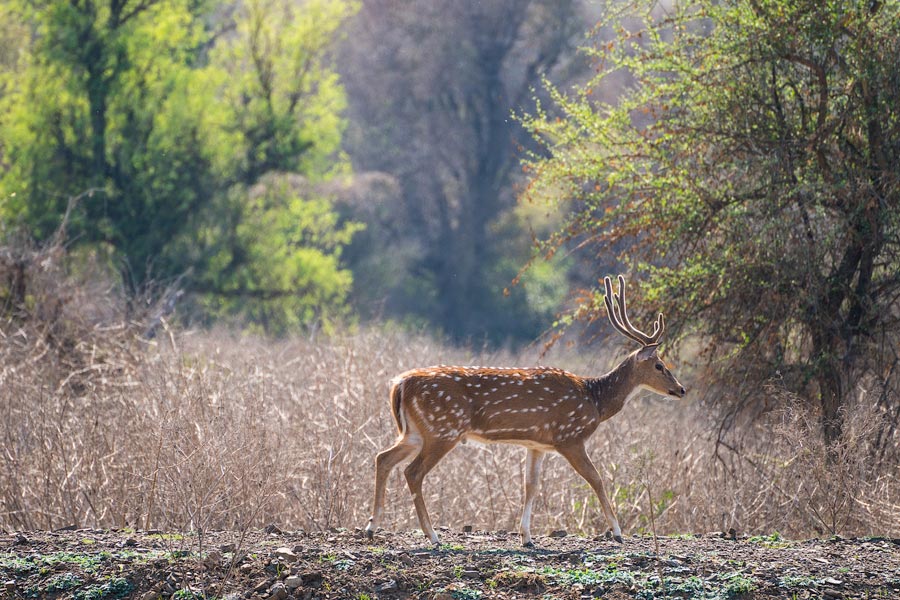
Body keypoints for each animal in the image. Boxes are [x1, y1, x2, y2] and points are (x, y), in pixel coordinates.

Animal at [364, 275, 686, 547]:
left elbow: (531, 485)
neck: (595, 400)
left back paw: (371, 526)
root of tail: (400, 384)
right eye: (659, 365)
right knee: (412, 471)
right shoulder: (569, 437)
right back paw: (432, 536)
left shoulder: (536, 444)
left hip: (415, 431)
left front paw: (527, 537)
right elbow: (596, 478)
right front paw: (618, 532)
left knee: (383, 458)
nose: (681, 389)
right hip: (443, 429)